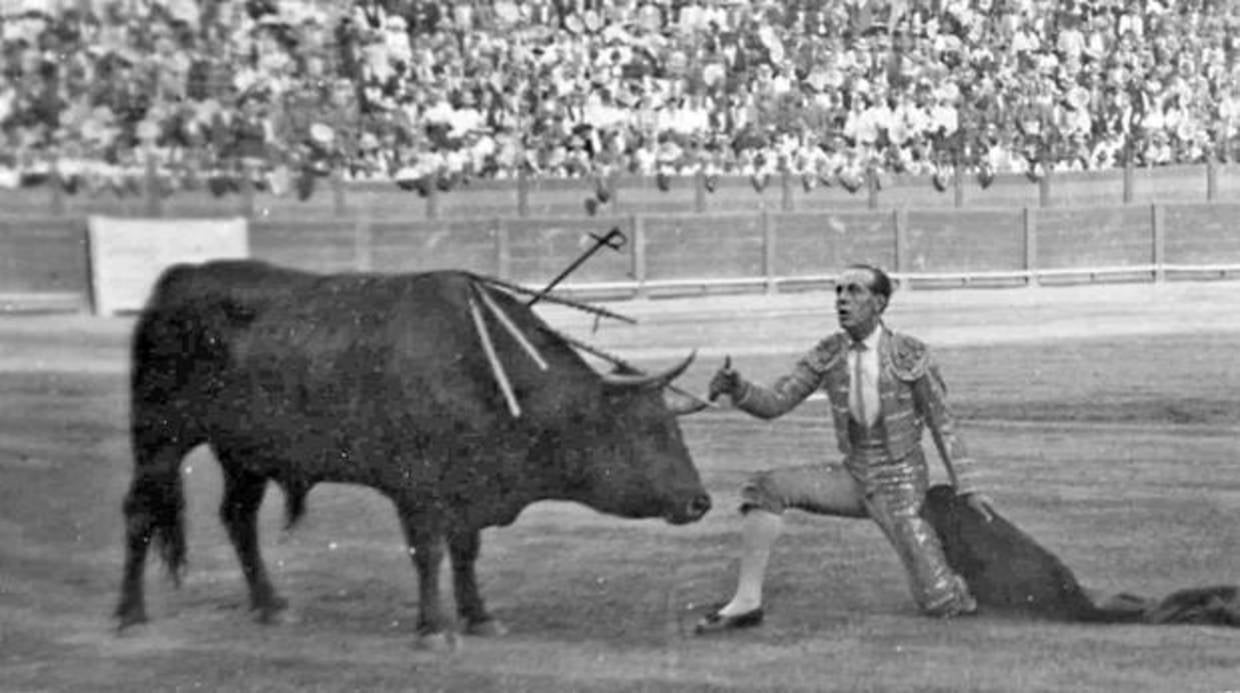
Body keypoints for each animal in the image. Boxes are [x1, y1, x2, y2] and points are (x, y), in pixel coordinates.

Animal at [120, 260, 719, 644]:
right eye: (645, 431)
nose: (700, 502)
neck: (480, 371)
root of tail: (178, 278)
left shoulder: (468, 488)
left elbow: (466, 551)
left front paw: (479, 616)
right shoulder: (418, 488)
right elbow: (429, 553)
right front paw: (433, 627)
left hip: (243, 455)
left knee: (239, 519)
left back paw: (269, 605)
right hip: (159, 437)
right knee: (140, 514)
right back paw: (130, 614)